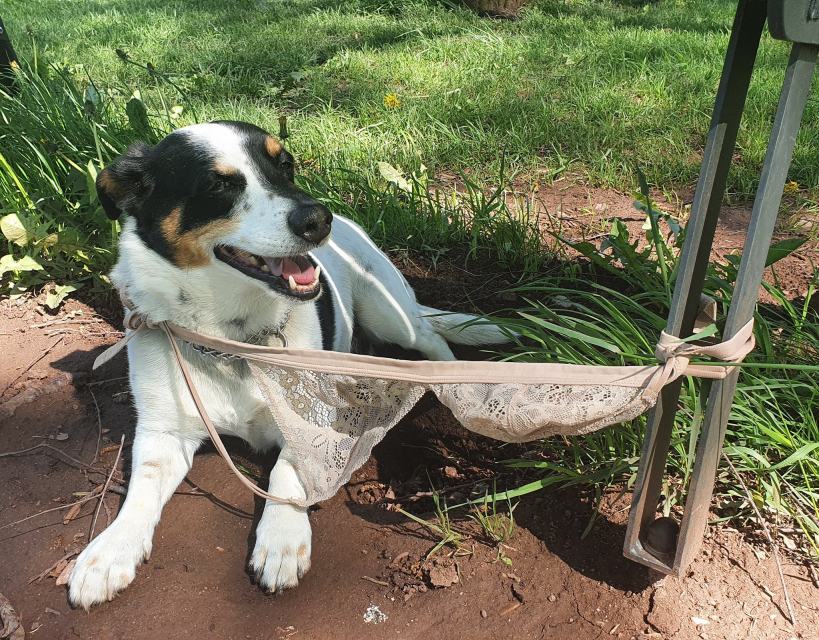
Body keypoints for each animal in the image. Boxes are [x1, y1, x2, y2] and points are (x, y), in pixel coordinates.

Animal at [70, 121, 510, 608]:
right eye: (216, 185)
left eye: (286, 164)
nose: (319, 219)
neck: (233, 342)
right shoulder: (163, 433)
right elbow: (140, 490)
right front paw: (112, 549)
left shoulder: (310, 421)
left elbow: (286, 470)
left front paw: (281, 538)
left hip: (389, 312)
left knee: (432, 339)